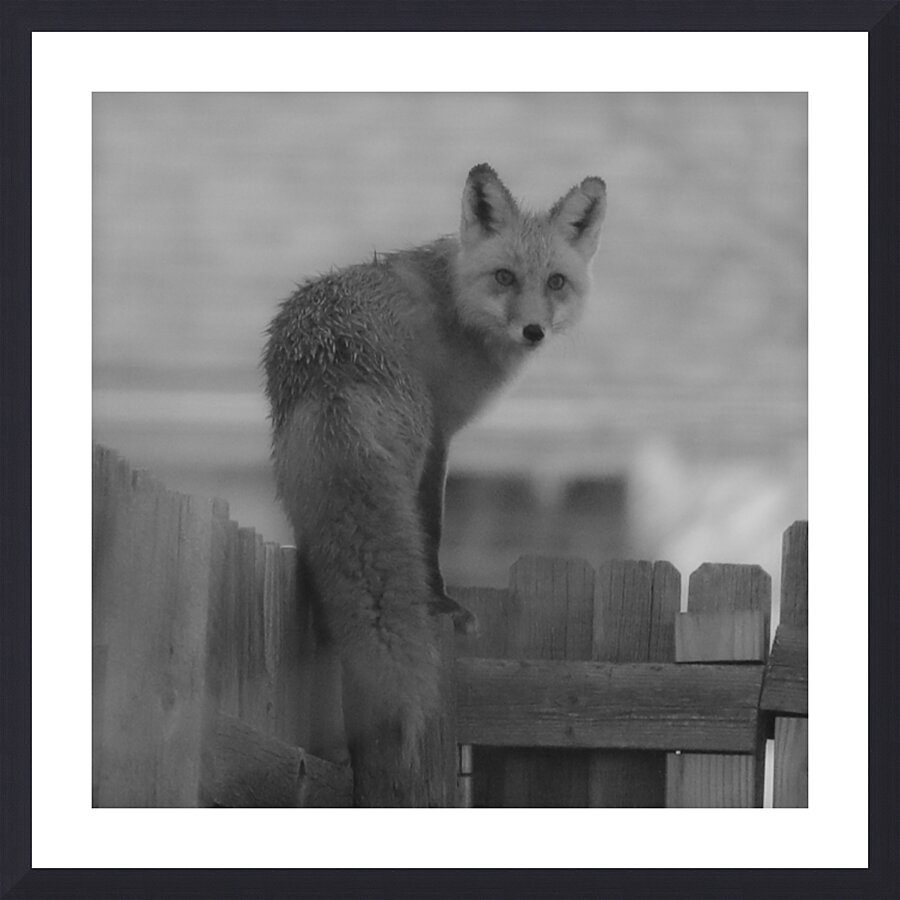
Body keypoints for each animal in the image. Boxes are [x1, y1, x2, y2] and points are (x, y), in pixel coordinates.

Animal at [262, 164, 606, 767]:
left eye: (556, 283)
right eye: (505, 277)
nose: (533, 331)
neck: (456, 308)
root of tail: (332, 369)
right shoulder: (442, 432)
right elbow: (432, 527)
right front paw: (444, 603)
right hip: (410, 443)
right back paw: (432, 604)